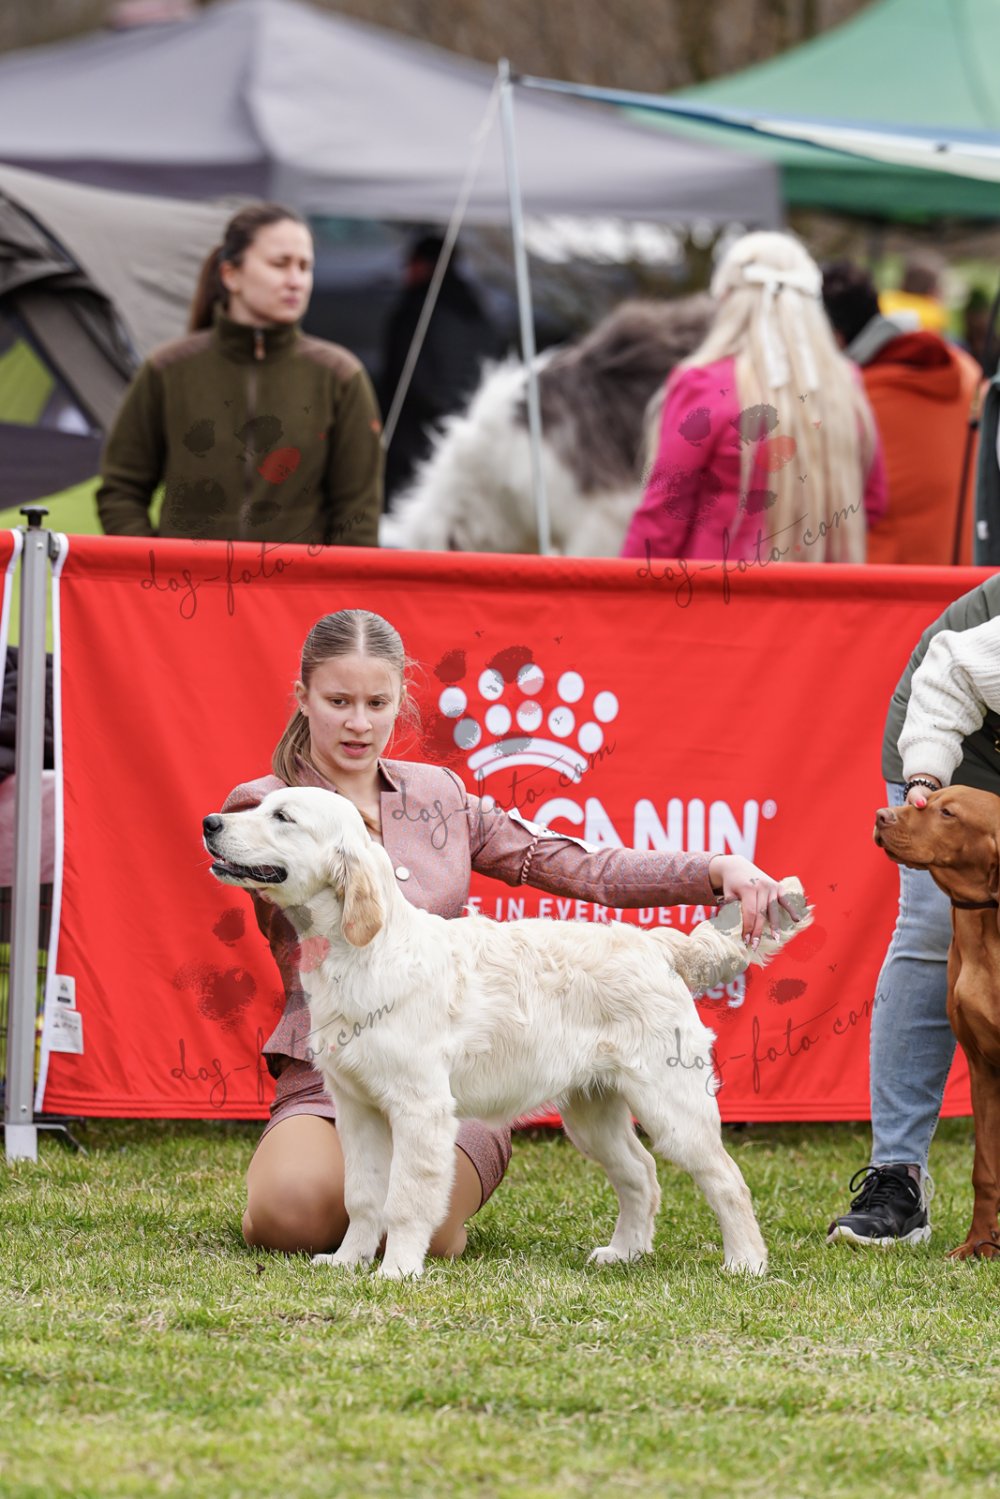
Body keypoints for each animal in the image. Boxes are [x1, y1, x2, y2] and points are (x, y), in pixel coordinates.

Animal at [874, 785, 1000, 1259]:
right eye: (928, 799)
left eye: (949, 814)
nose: (881, 816)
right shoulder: (983, 1071)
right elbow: (985, 1170)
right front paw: (979, 1244)